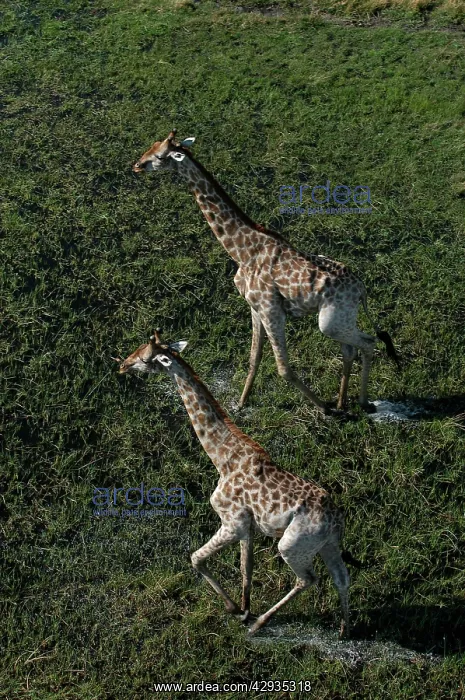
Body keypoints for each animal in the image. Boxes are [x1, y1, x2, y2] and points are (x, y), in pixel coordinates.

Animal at [117, 330, 359, 637]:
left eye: (146, 358)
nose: (122, 365)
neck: (222, 458)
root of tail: (336, 519)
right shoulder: (248, 527)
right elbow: (247, 568)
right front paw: (244, 609)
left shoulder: (232, 522)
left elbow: (197, 558)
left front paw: (237, 610)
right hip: (327, 544)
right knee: (342, 577)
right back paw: (345, 629)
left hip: (292, 545)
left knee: (307, 579)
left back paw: (260, 624)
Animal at [133, 130, 400, 415]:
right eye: (152, 145)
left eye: (161, 156)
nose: (137, 165)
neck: (242, 250)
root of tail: (361, 289)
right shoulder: (255, 307)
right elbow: (254, 357)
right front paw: (240, 403)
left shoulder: (271, 309)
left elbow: (283, 369)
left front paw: (325, 409)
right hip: (340, 320)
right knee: (350, 350)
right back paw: (343, 401)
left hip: (329, 323)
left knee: (369, 343)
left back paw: (361, 403)